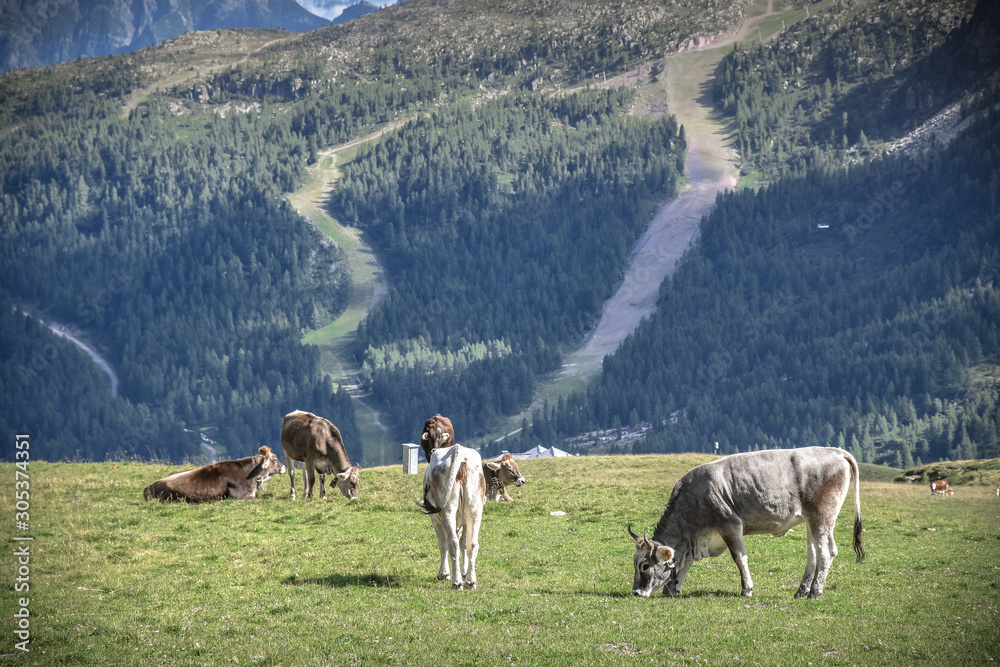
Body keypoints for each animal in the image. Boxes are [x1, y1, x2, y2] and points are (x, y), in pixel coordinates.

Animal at [418, 444, 496, 588]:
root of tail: (458, 450)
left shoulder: (436, 520)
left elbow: (443, 544)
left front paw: (444, 574)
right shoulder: (463, 521)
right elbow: (464, 544)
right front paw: (464, 573)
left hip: (447, 511)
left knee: (452, 542)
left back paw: (457, 582)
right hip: (475, 510)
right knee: (472, 543)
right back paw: (470, 581)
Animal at [628, 448, 864, 600]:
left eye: (645, 565)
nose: (636, 592)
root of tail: (836, 451)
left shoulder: (730, 525)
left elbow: (739, 559)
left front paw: (747, 589)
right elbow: (685, 563)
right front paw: (672, 590)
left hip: (822, 517)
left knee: (827, 552)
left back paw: (815, 592)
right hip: (810, 520)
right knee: (813, 554)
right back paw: (801, 591)